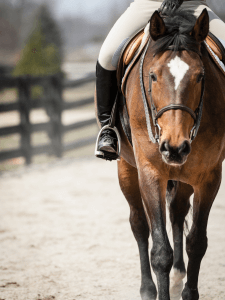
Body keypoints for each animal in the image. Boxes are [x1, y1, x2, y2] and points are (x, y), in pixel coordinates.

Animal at [114, 8, 225, 300]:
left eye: (200, 76)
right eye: (153, 76)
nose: (174, 147)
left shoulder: (209, 177)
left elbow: (196, 242)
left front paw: (187, 291)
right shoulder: (151, 174)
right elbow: (160, 251)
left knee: (176, 211)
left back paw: (177, 278)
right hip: (126, 169)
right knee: (139, 225)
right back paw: (147, 289)